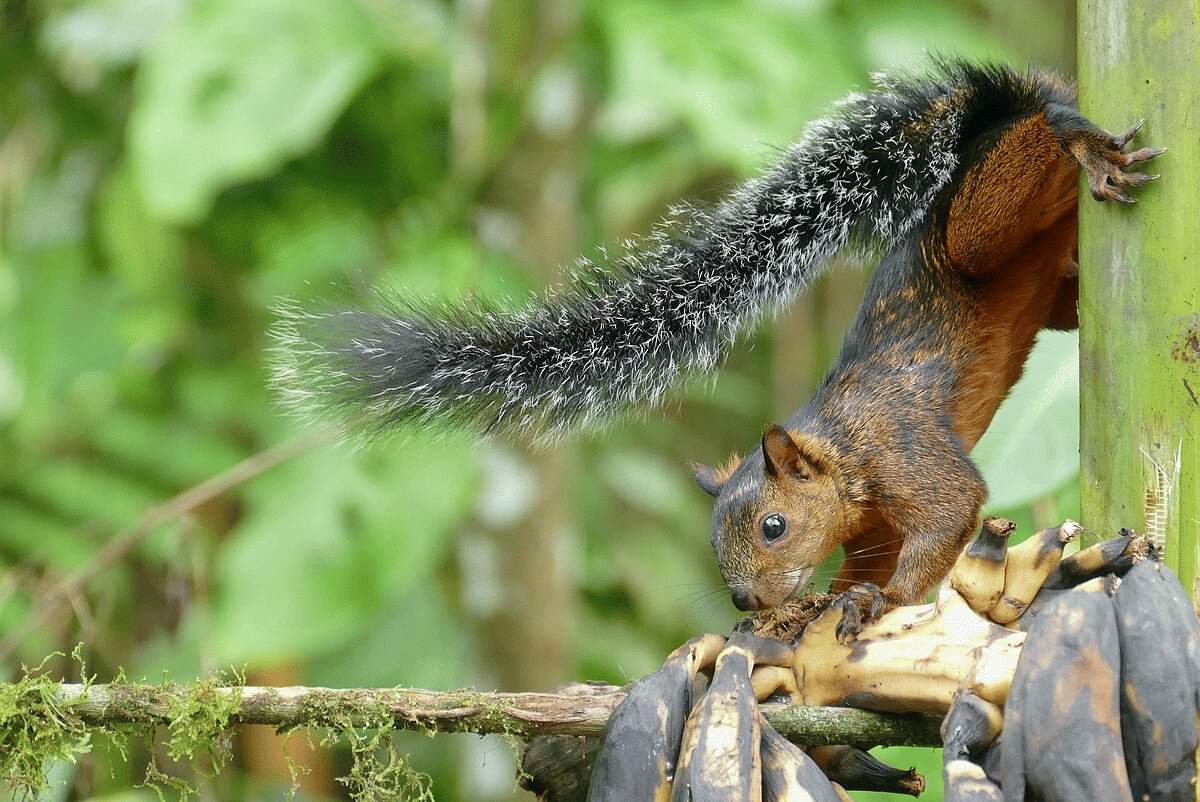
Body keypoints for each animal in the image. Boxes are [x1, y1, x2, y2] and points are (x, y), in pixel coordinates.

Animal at [271, 61, 1160, 633]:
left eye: (771, 526)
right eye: (712, 540)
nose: (743, 603)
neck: (839, 456)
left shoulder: (901, 448)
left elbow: (949, 513)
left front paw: (879, 604)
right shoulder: (870, 530)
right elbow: (869, 560)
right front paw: (822, 607)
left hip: (975, 227)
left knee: (1031, 143)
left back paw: (1079, 137)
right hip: (1047, 284)